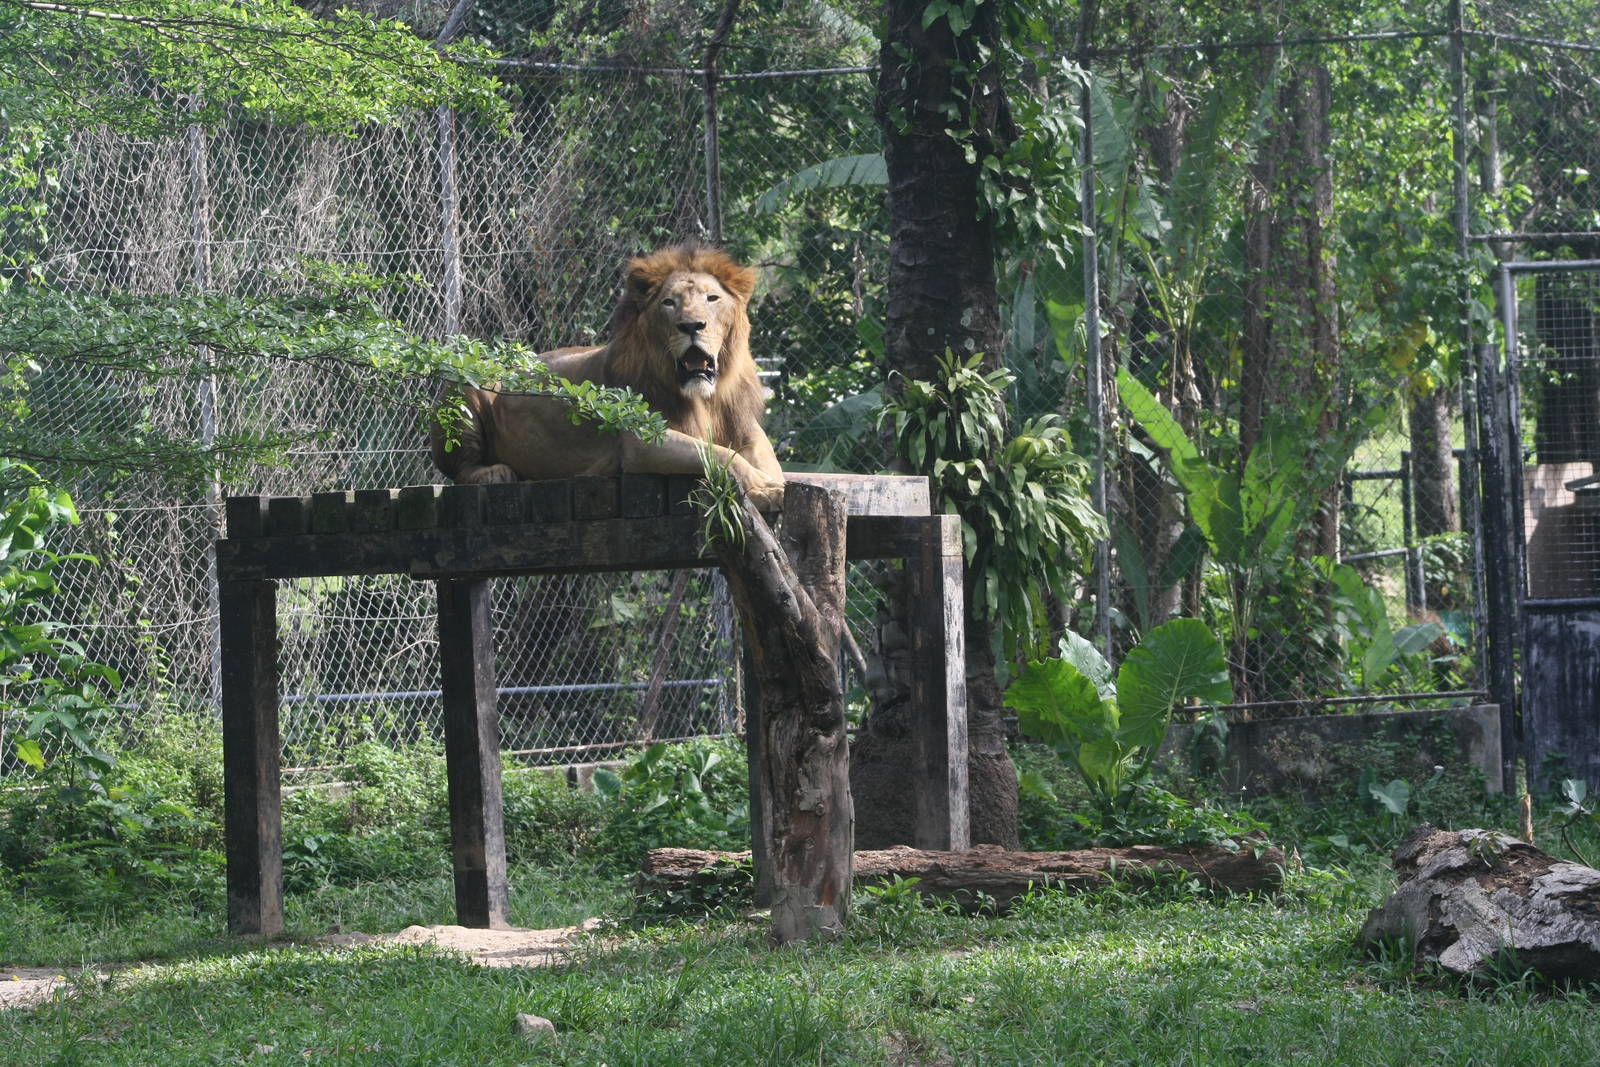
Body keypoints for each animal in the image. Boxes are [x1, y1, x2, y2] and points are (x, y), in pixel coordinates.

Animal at [430, 243, 784, 509]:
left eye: (712, 298)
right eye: (669, 303)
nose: (691, 326)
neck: (703, 399)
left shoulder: (746, 429)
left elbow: (766, 460)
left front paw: (771, 482)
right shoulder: (643, 440)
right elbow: (718, 453)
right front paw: (761, 486)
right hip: (461, 384)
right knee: (460, 470)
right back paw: (496, 473)